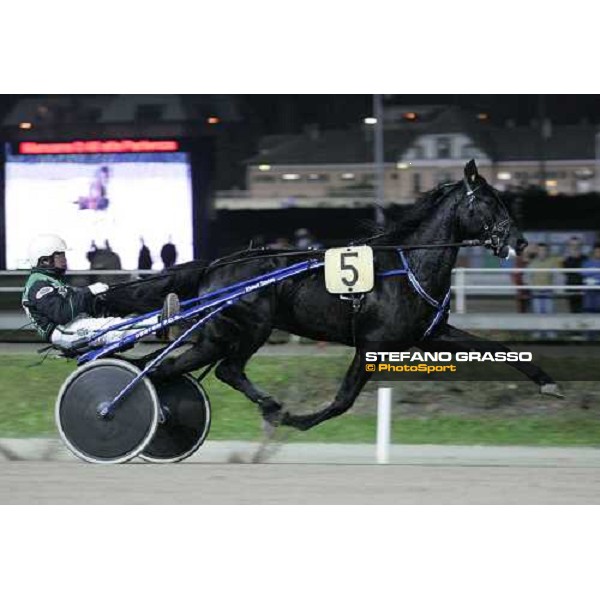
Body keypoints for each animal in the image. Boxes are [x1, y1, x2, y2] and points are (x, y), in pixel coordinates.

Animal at [102, 159, 564, 432]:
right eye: (488, 202)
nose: (521, 242)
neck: (410, 264)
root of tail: (216, 266)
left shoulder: (432, 335)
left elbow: (500, 349)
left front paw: (549, 384)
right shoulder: (373, 344)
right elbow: (343, 399)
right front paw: (299, 420)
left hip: (214, 335)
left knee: (164, 367)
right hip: (247, 328)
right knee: (221, 371)